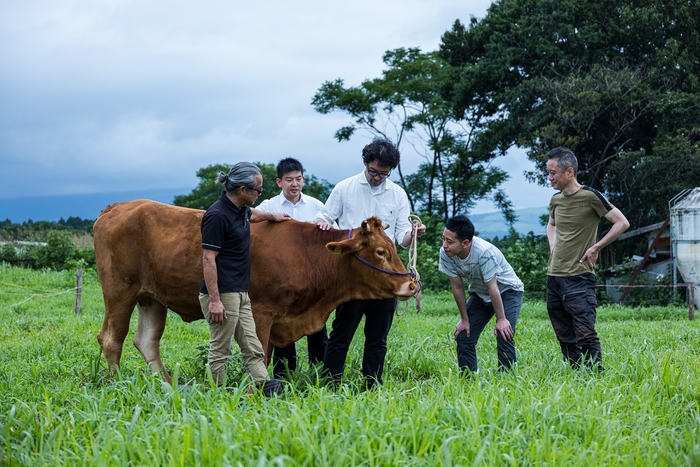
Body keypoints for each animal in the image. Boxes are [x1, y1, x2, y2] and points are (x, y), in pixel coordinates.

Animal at [95, 199, 418, 386]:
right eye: (380, 251)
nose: (411, 284)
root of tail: (117, 206)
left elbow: (268, 354)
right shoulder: (261, 312)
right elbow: (259, 353)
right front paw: (254, 392)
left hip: (151, 298)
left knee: (147, 341)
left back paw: (167, 386)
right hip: (120, 291)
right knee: (112, 338)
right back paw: (116, 384)